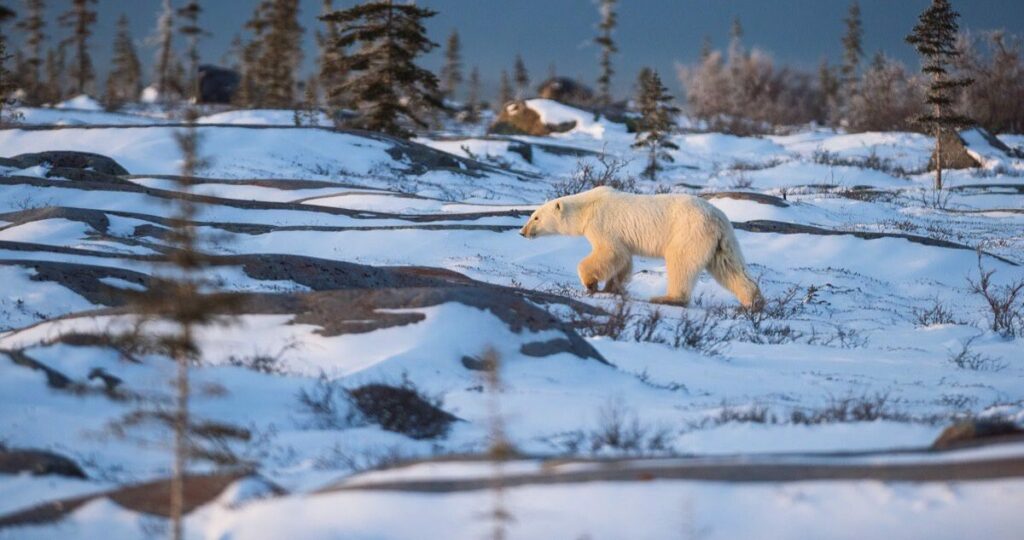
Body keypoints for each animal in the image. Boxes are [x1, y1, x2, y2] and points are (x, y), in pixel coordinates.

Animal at [520, 188, 761, 309]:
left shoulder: (603, 224)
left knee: (680, 262)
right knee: (729, 267)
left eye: (536, 217)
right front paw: (612, 288)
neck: (589, 206)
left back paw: (667, 298)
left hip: (689, 233)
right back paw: (753, 301)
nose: (522, 232)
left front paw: (590, 284)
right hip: (721, 240)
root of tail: (717, 217)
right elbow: (623, 260)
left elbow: (609, 253)